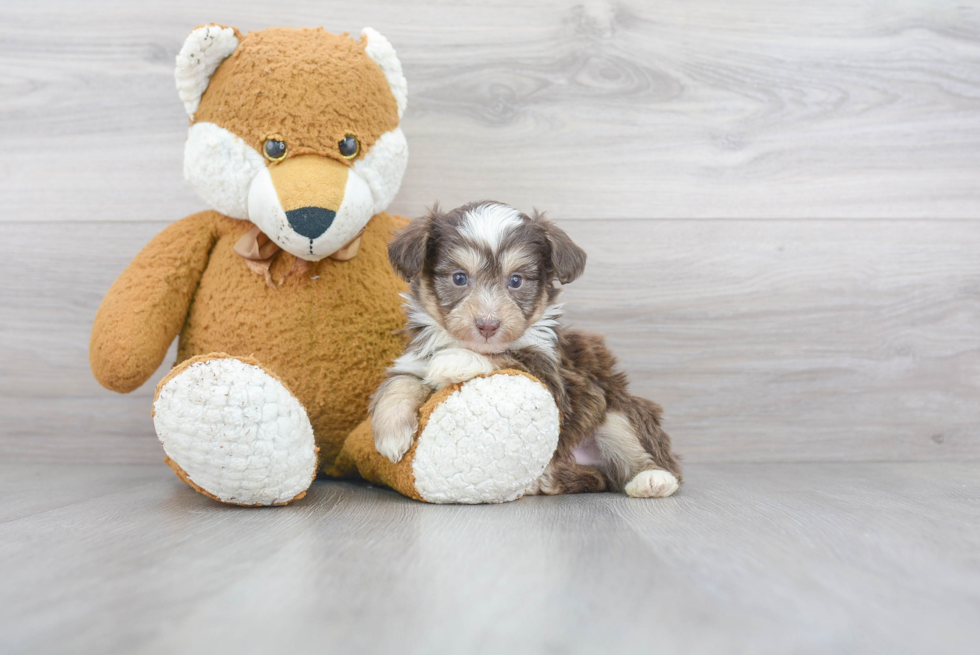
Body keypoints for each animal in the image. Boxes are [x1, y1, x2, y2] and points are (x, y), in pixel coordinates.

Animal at [368, 200, 680, 498]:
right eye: (459, 278)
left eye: (516, 280)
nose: (488, 325)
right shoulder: (414, 360)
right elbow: (399, 383)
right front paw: (391, 434)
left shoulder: (556, 379)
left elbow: (508, 356)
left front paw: (456, 361)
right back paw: (544, 481)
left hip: (616, 408)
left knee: (635, 447)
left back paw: (653, 479)